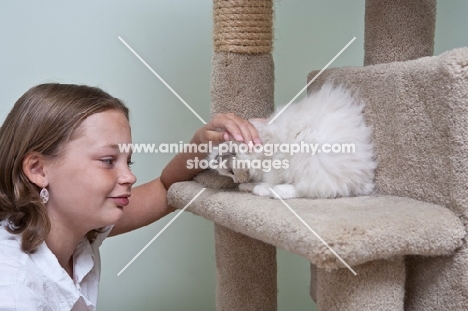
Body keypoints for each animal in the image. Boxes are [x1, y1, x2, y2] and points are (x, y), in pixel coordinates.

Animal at [208, 83, 376, 200]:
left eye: (231, 172)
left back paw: (273, 191)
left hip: (309, 158)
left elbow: (270, 177)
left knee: (314, 188)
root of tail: (362, 179)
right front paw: (246, 185)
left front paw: (259, 187)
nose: (236, 181)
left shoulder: (274, 160)